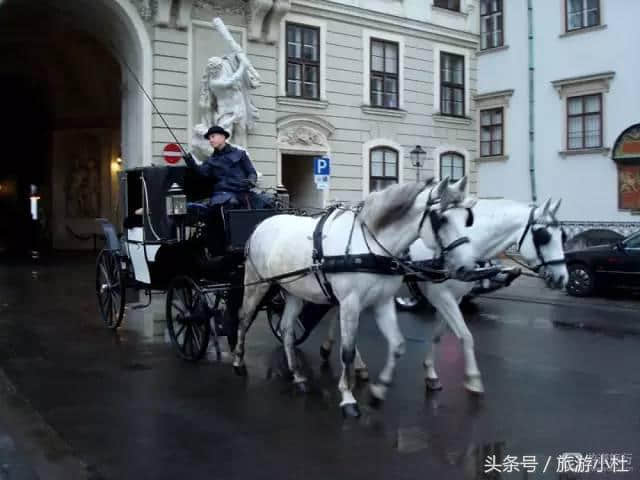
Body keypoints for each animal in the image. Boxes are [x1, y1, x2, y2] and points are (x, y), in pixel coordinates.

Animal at [232, 176, 478, 416]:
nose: (468, 268)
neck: (370, 246)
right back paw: (238, 360)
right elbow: (347, 352)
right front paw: (348, 397)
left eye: (467, 218)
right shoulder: (349, 303)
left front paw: (379, 391)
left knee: (286, 328)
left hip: (293, 291)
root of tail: (261, 224)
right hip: (257, 284)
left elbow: (397, 345)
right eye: (442, 219)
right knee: (244, 318)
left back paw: (297, 375)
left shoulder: (382, 302)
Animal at [322, 196, 568, 394]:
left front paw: (431, 373)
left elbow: (438, 335)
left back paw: (340, 355)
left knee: (336, 310)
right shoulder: (441, 295)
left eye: (563, 235)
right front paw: (473, 379)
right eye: (544, 236)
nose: (562, 278)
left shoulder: (453, 298)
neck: (467, 239)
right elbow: (466, 336)